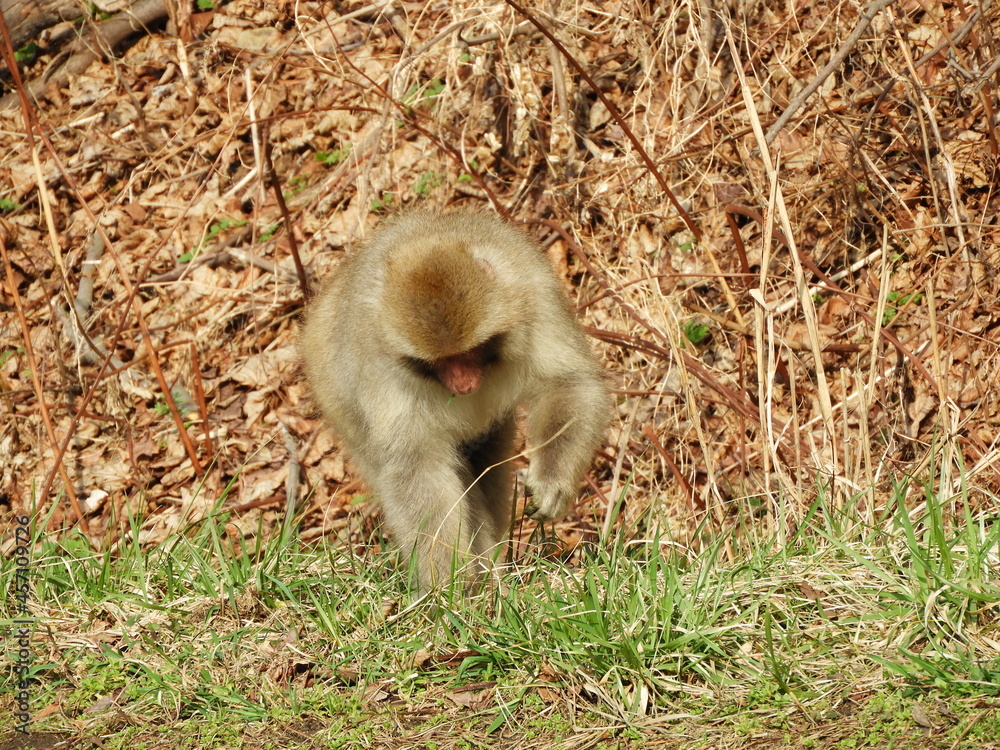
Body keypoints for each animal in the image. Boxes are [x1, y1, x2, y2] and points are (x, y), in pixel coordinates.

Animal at [300, 210, 610, 593]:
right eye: (440, 362)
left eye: (470, 352)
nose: (463, 384)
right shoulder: (377, 359)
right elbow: (415, 464)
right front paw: (448, 584)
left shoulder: (534, 293)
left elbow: (567, 384)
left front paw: (551, 485)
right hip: (346, 420)